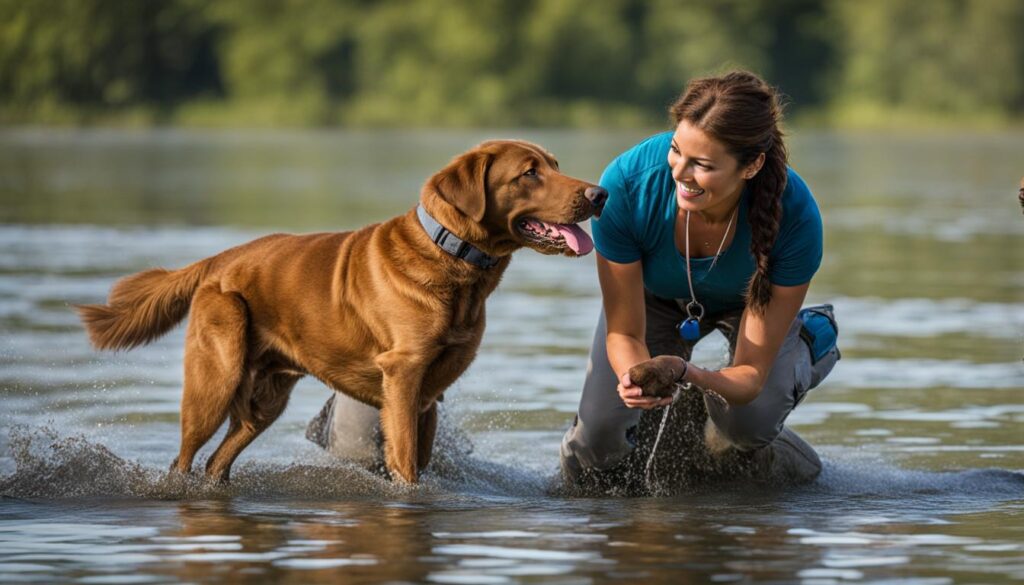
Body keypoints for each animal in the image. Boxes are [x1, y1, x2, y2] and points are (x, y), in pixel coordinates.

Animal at [83, 139, 606, 483]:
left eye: (556, 166)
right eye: (529, 173)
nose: (598, 195)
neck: (457, 261)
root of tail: (221, 259)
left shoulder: (428, 397)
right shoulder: (403, 377)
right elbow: (405, 465)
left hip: (266, 398)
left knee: (217, 461)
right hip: (215, 376)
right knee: (185, 458)